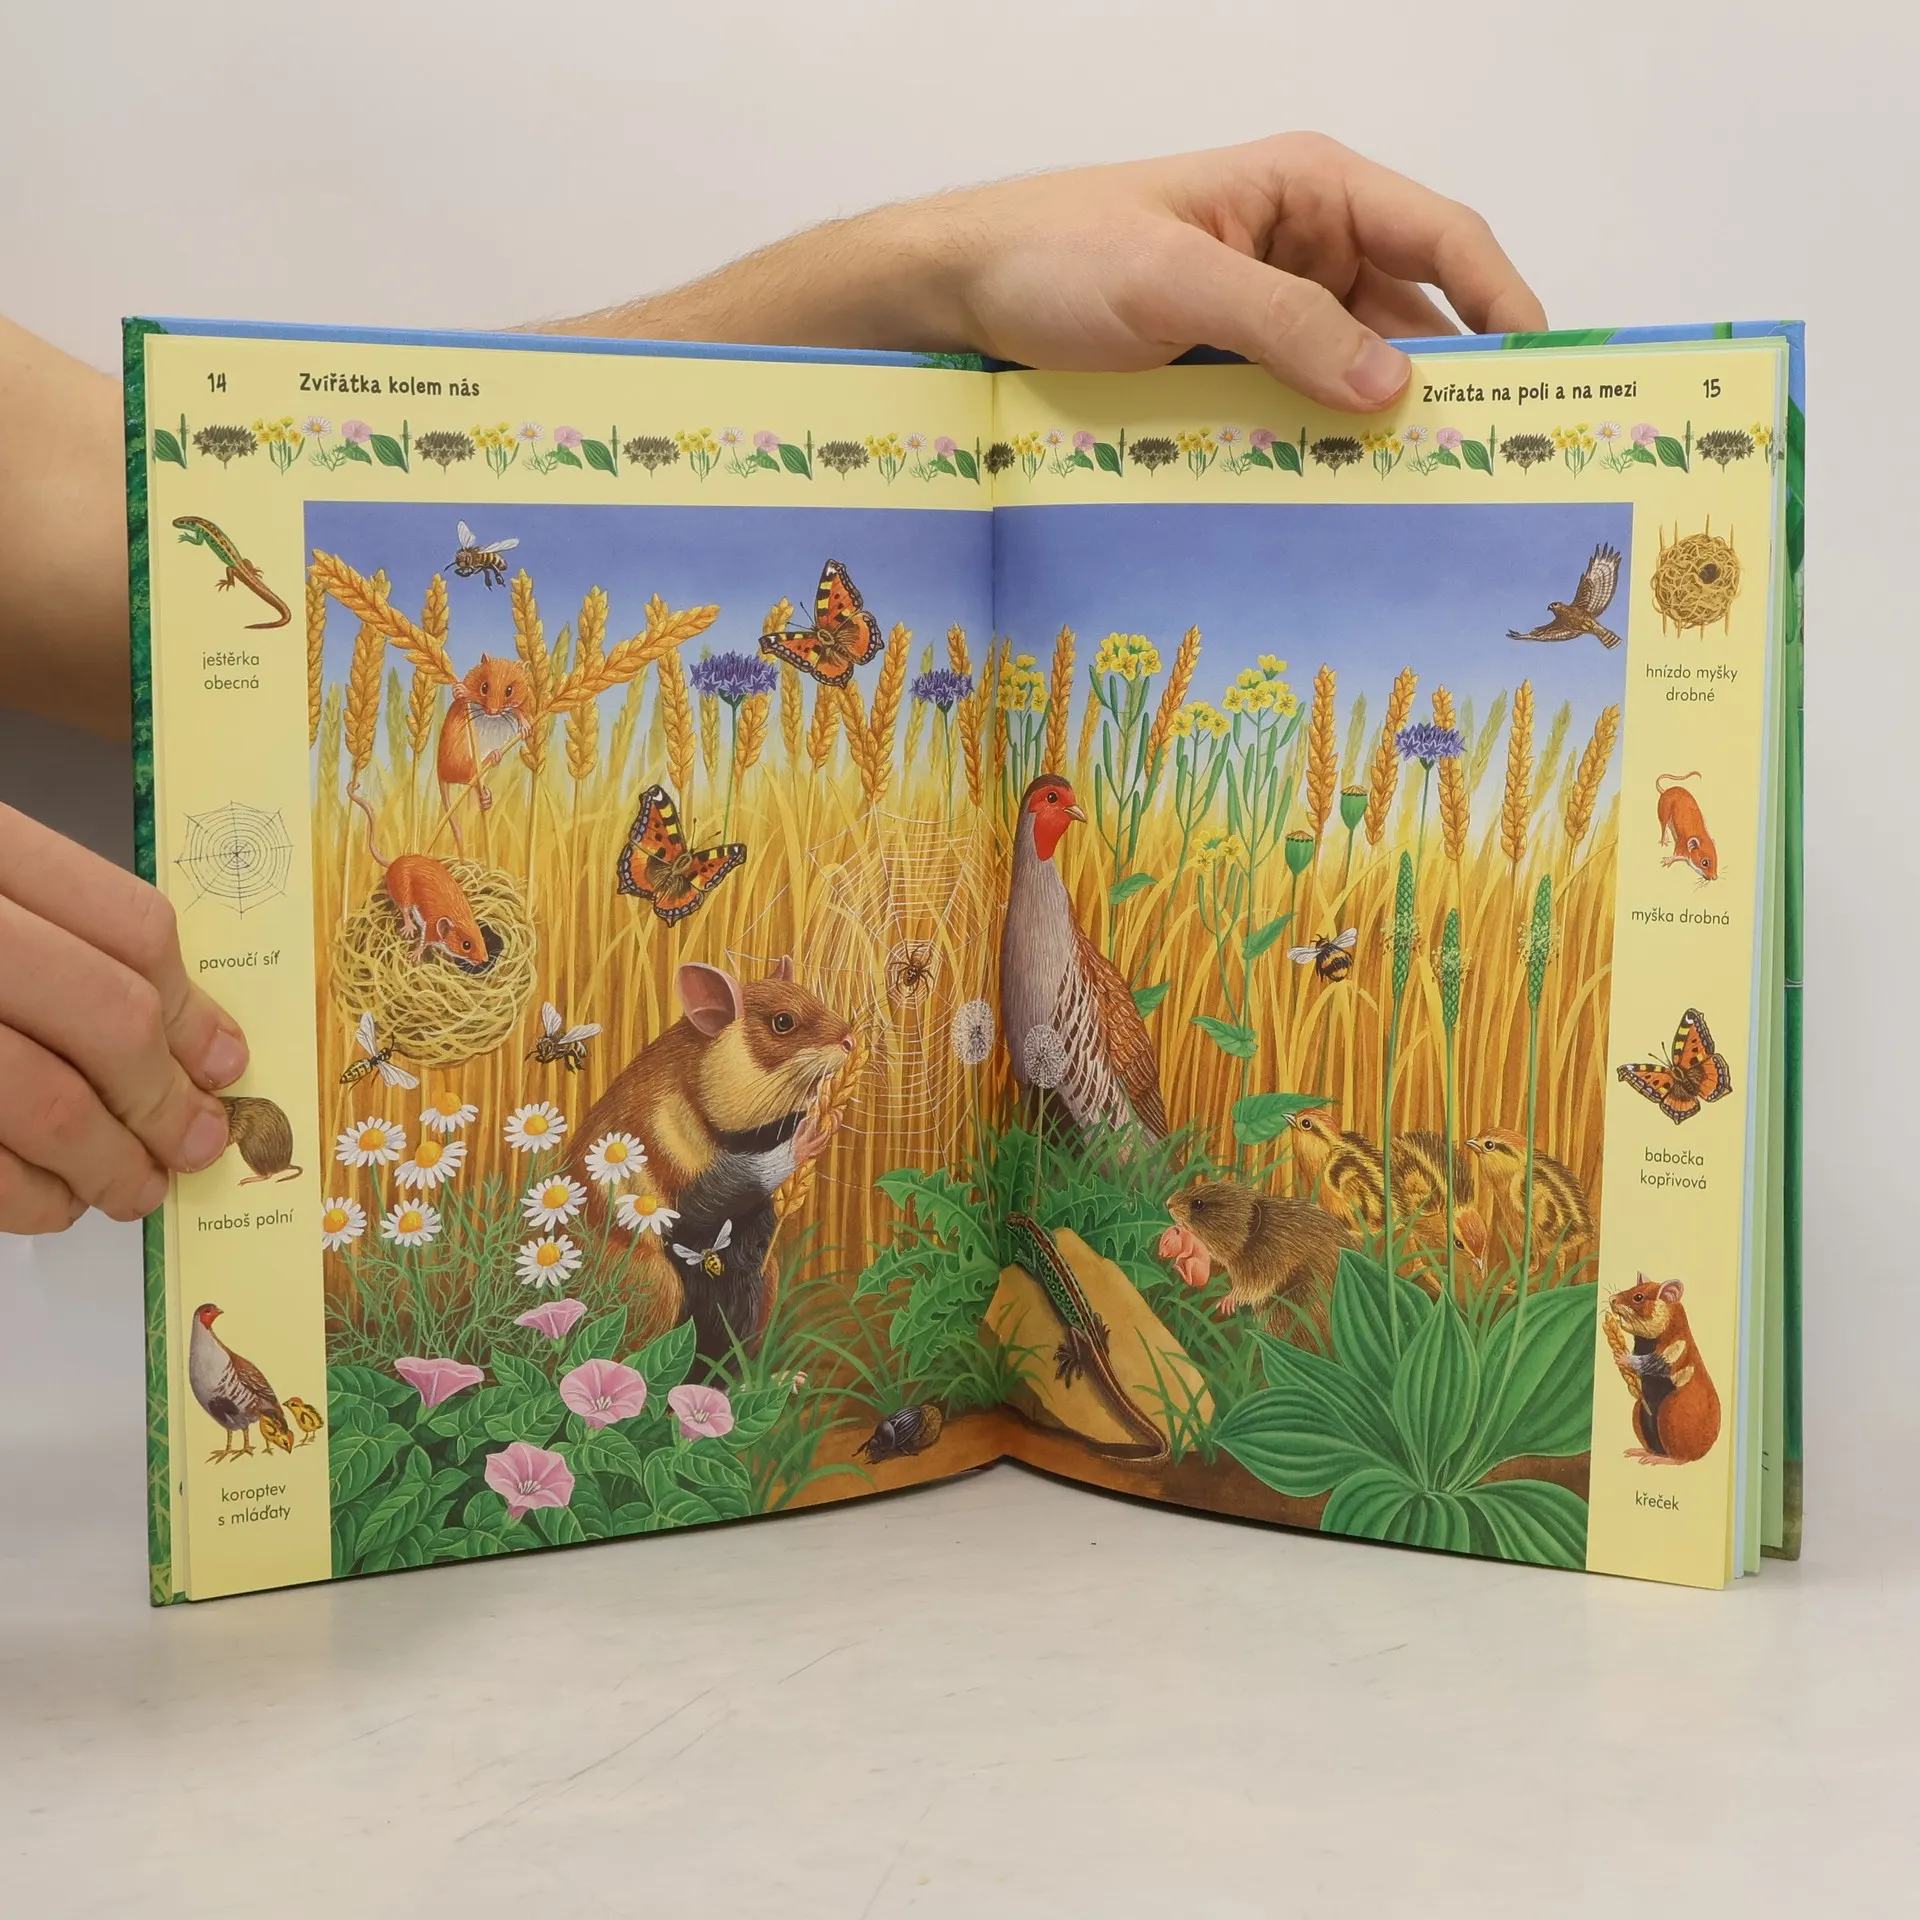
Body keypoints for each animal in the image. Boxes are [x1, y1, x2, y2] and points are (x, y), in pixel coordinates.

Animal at [571, 958, 853, 1362]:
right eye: (783, 1022)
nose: (852, 1040)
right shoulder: (694, 1186)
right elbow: (740, 1180)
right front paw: (810, 1133)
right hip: (659, 1284)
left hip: (768, 1276)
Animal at [1604, 1275, 1721, 1465]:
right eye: (1633, 1289)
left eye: (1638, 1297)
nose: (1611, 1299)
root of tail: (1701, 1453)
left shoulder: (1665, 1356)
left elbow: (1644, 1362)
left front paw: (1621, 1356)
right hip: (1639, 1409)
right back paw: (1641, 1453)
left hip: (1669, 1411)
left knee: (1679, 1459)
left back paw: (1659, 1460)